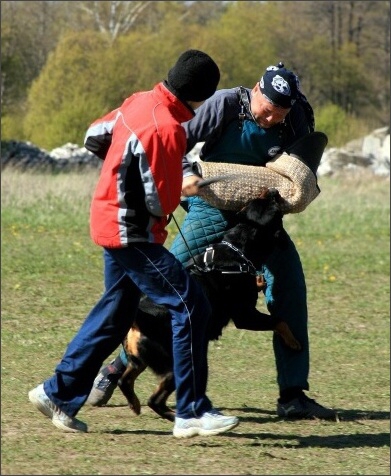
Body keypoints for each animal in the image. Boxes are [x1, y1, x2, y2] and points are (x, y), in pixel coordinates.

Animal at [116, 188, 300, 422]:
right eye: (276, 207)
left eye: (259, 197)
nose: (274, 190)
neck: (238, 251)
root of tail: (141, 318)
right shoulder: (245, 315)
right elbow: (279, 321)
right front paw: (293, 342)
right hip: (177, 361)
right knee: (155, 400)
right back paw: (181, 416)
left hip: (140, 359)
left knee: (125, 380)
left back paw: (135, 404)